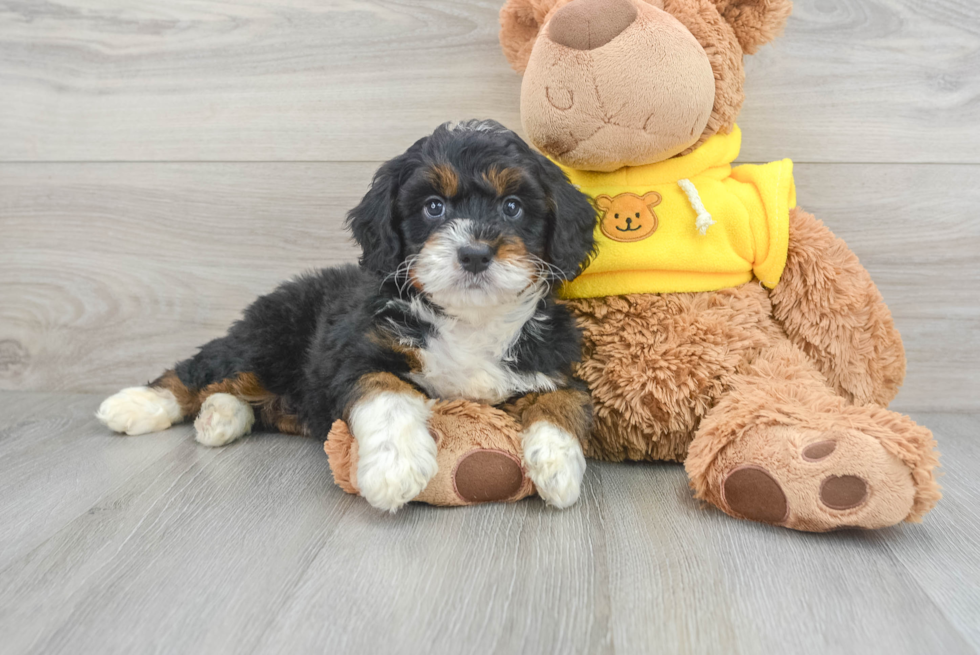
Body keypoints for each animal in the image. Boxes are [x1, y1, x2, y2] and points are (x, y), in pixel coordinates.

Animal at [97, 121, 596, 512]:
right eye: (433, 206)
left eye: (512, 206)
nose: (474, 254)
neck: (468, 320)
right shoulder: (358, 351)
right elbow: (388, 393)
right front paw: (395, 467)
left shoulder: (550, 362)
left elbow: (564, 400)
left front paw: (557, 466)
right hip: (266, 338)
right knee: (199, 370)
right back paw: (137, 404)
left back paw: (221, 417)